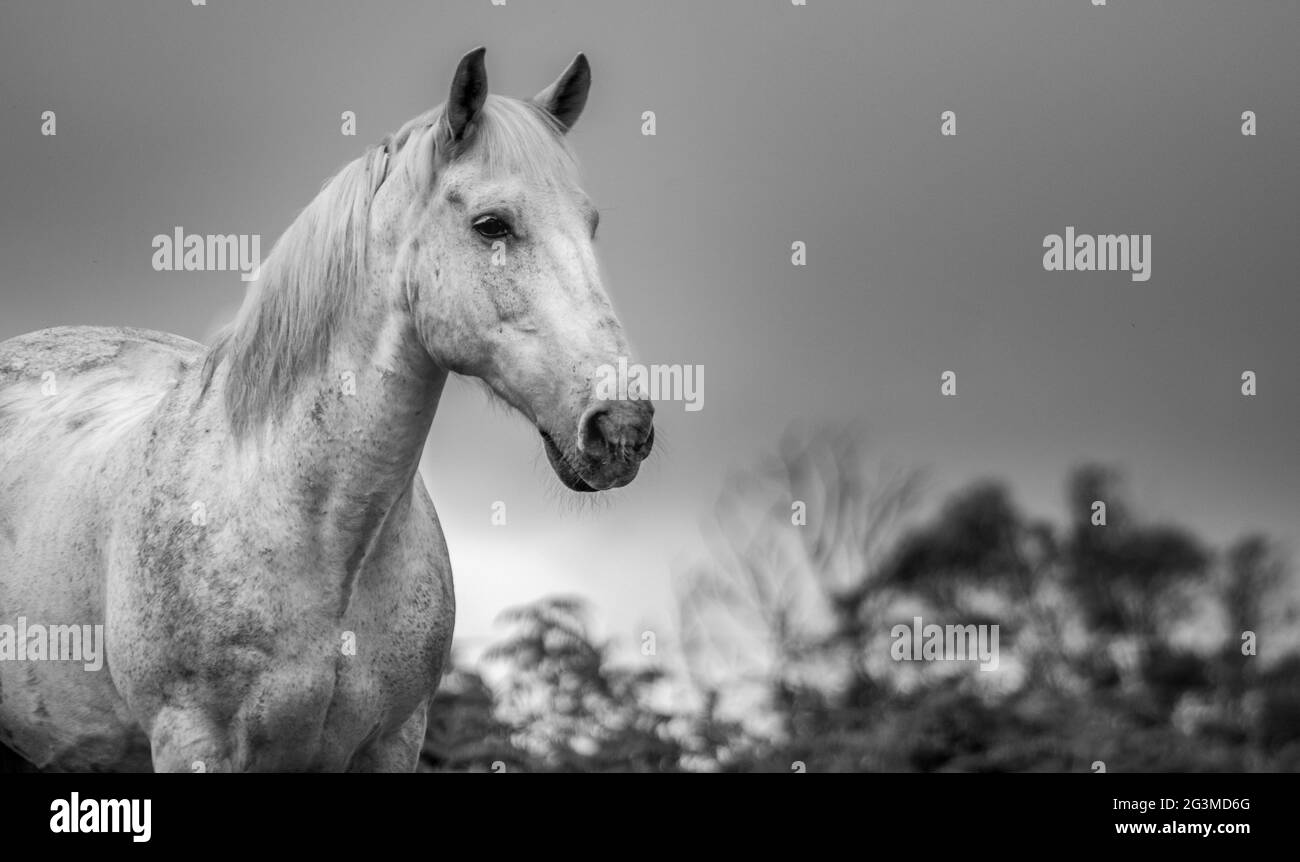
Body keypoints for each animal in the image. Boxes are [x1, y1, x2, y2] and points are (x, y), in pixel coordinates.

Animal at [0, 48, 654, 772]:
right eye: (492, 224)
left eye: (590, 225)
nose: (622, 427)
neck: (318, 531)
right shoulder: (192, 739)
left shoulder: (393, 742)